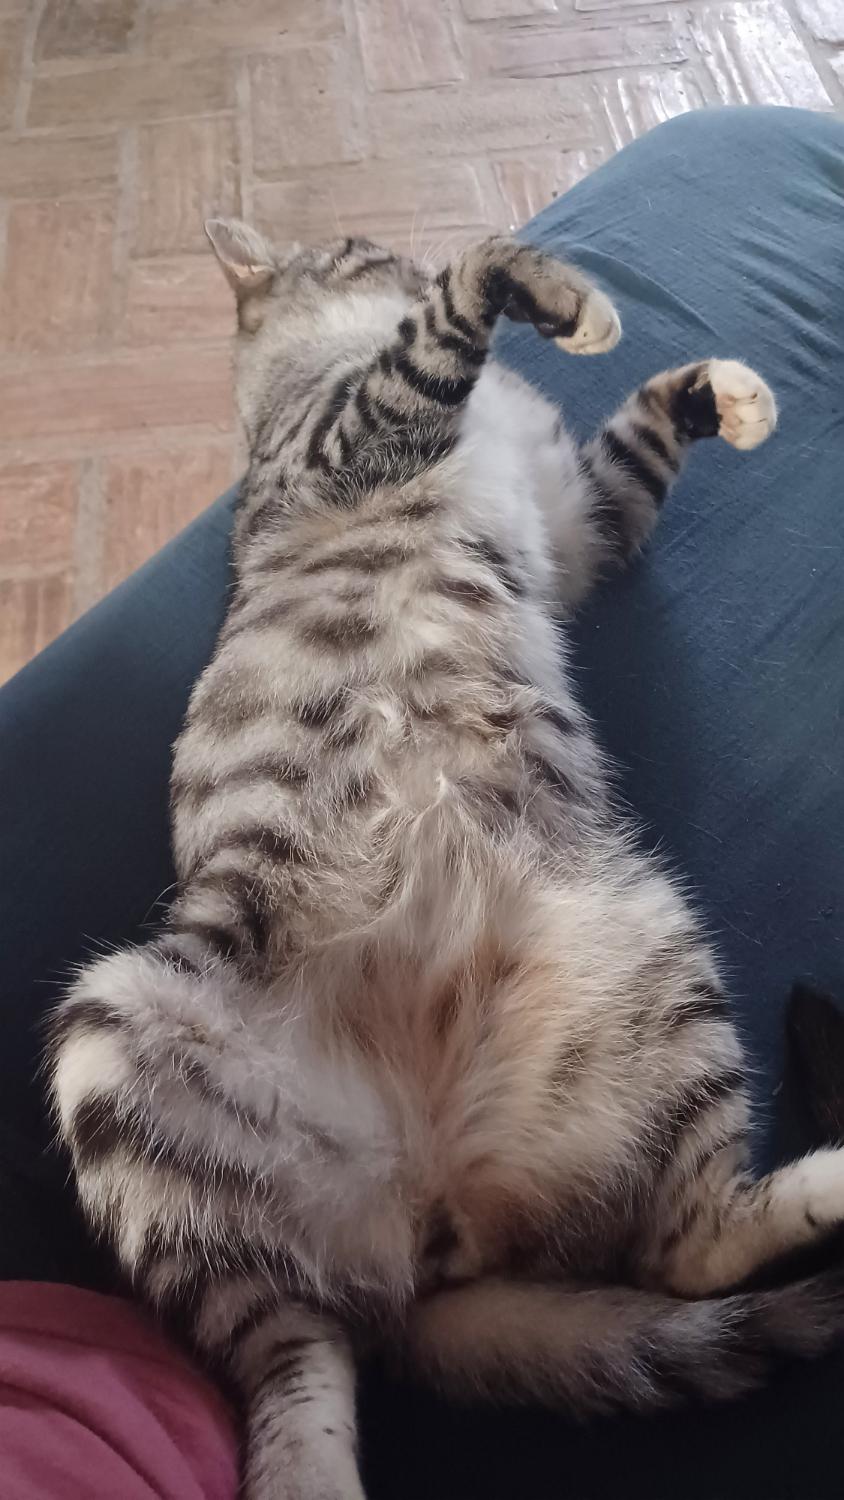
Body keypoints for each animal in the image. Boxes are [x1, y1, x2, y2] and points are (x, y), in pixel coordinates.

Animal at [48, 221, 844, 1500]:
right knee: (297, 1354)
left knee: (665, 1253)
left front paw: (720, 392)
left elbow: (639, 439)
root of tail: (428, 1220)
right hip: (114, 1040)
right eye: (354, 243)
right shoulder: (349, 439)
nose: (395, 248)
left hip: (638, 949)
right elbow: (473, 291)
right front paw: (558, 299)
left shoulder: (581, 520)